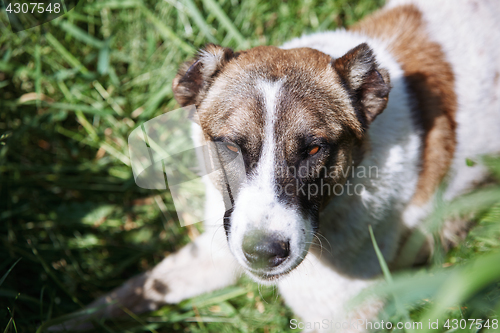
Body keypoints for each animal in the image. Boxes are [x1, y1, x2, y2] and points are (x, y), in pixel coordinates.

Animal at [69, 0, 500, 330]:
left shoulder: (342, 317)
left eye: (314, 149)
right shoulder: (217, 250)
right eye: (229, 145)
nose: (264, 254)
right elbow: (133, 290)